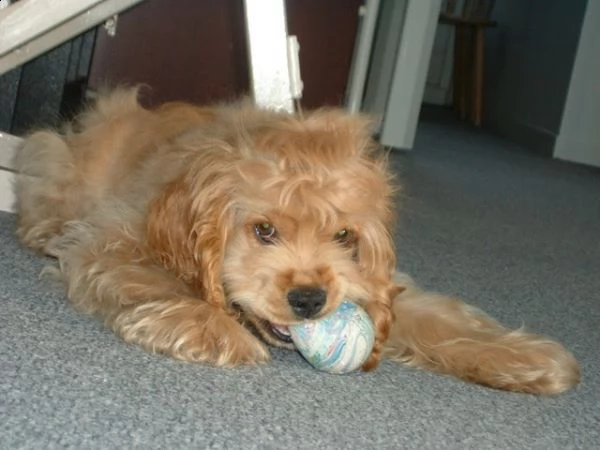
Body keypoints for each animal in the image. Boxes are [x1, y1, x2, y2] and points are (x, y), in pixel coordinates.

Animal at [14, 87, 576, 394]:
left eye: (344, 235)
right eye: (264, 229)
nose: (309, 299)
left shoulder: (373, 282)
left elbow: (439, 318)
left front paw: (524, 359)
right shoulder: (111, 236)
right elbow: (149, 277)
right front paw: (210, 327)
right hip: (63, 158)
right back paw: (43, 225)